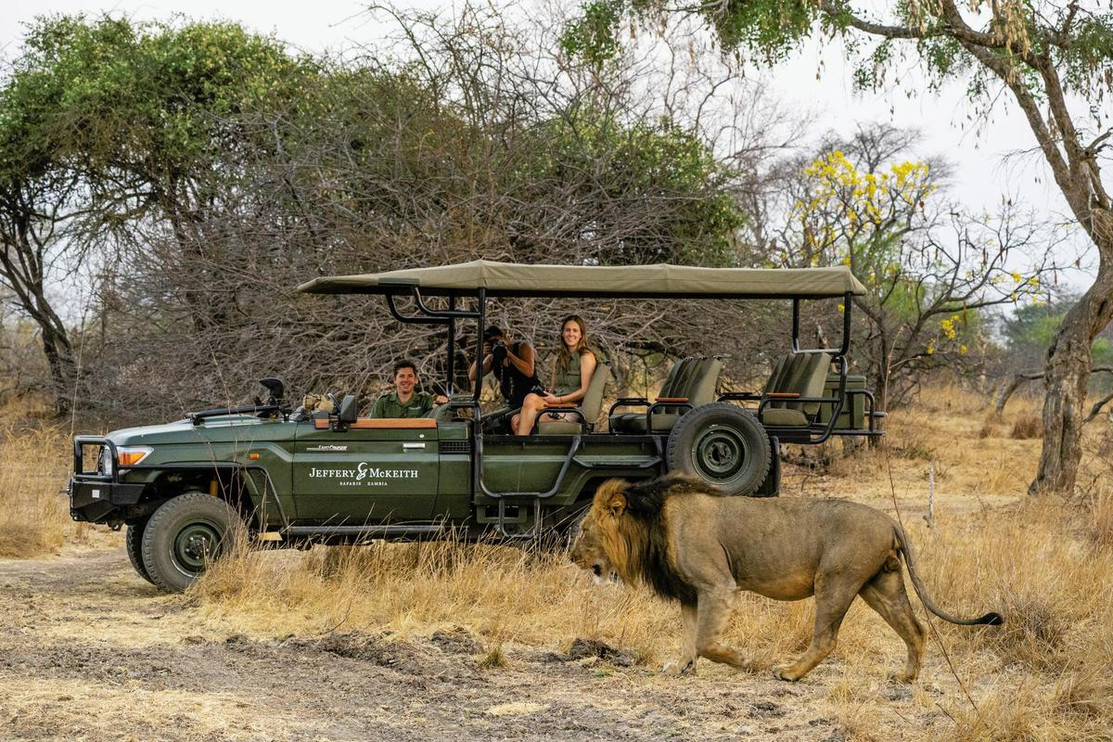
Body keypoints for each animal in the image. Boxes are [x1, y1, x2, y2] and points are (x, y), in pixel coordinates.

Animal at [570, 475, 1002, 682]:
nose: (571, 557)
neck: (651, 522)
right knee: (915, 629)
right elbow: (689, 637)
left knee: (826, 638)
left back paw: (789, 673)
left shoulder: (717, 584)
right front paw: (680, 668)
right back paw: (906, 677)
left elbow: (707, 640)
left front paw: (744, 661)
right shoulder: (692, 593)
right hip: (880, 585)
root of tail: (890, 519)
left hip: (836, 581)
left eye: (584, 530)